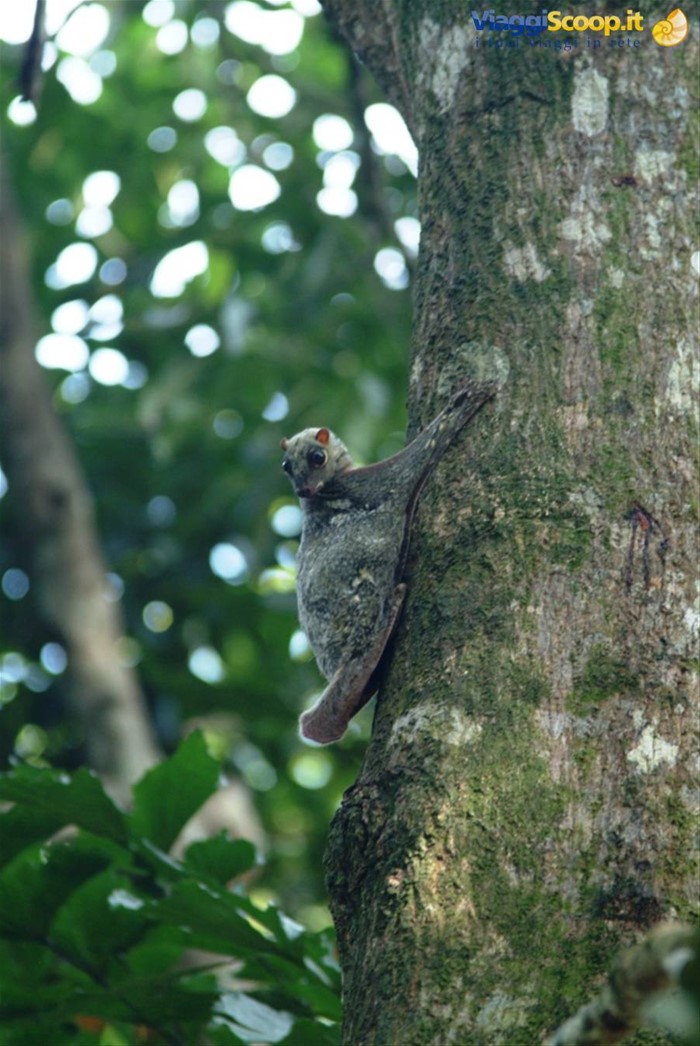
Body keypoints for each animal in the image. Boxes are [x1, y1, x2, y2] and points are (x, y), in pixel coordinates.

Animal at [280, 380, 496, 744]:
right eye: (287, 468)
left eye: (316, 457)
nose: (303, 490)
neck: (328, 487)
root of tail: (337, 666)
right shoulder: (368, 486)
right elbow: (412, 463)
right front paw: (461, 405)